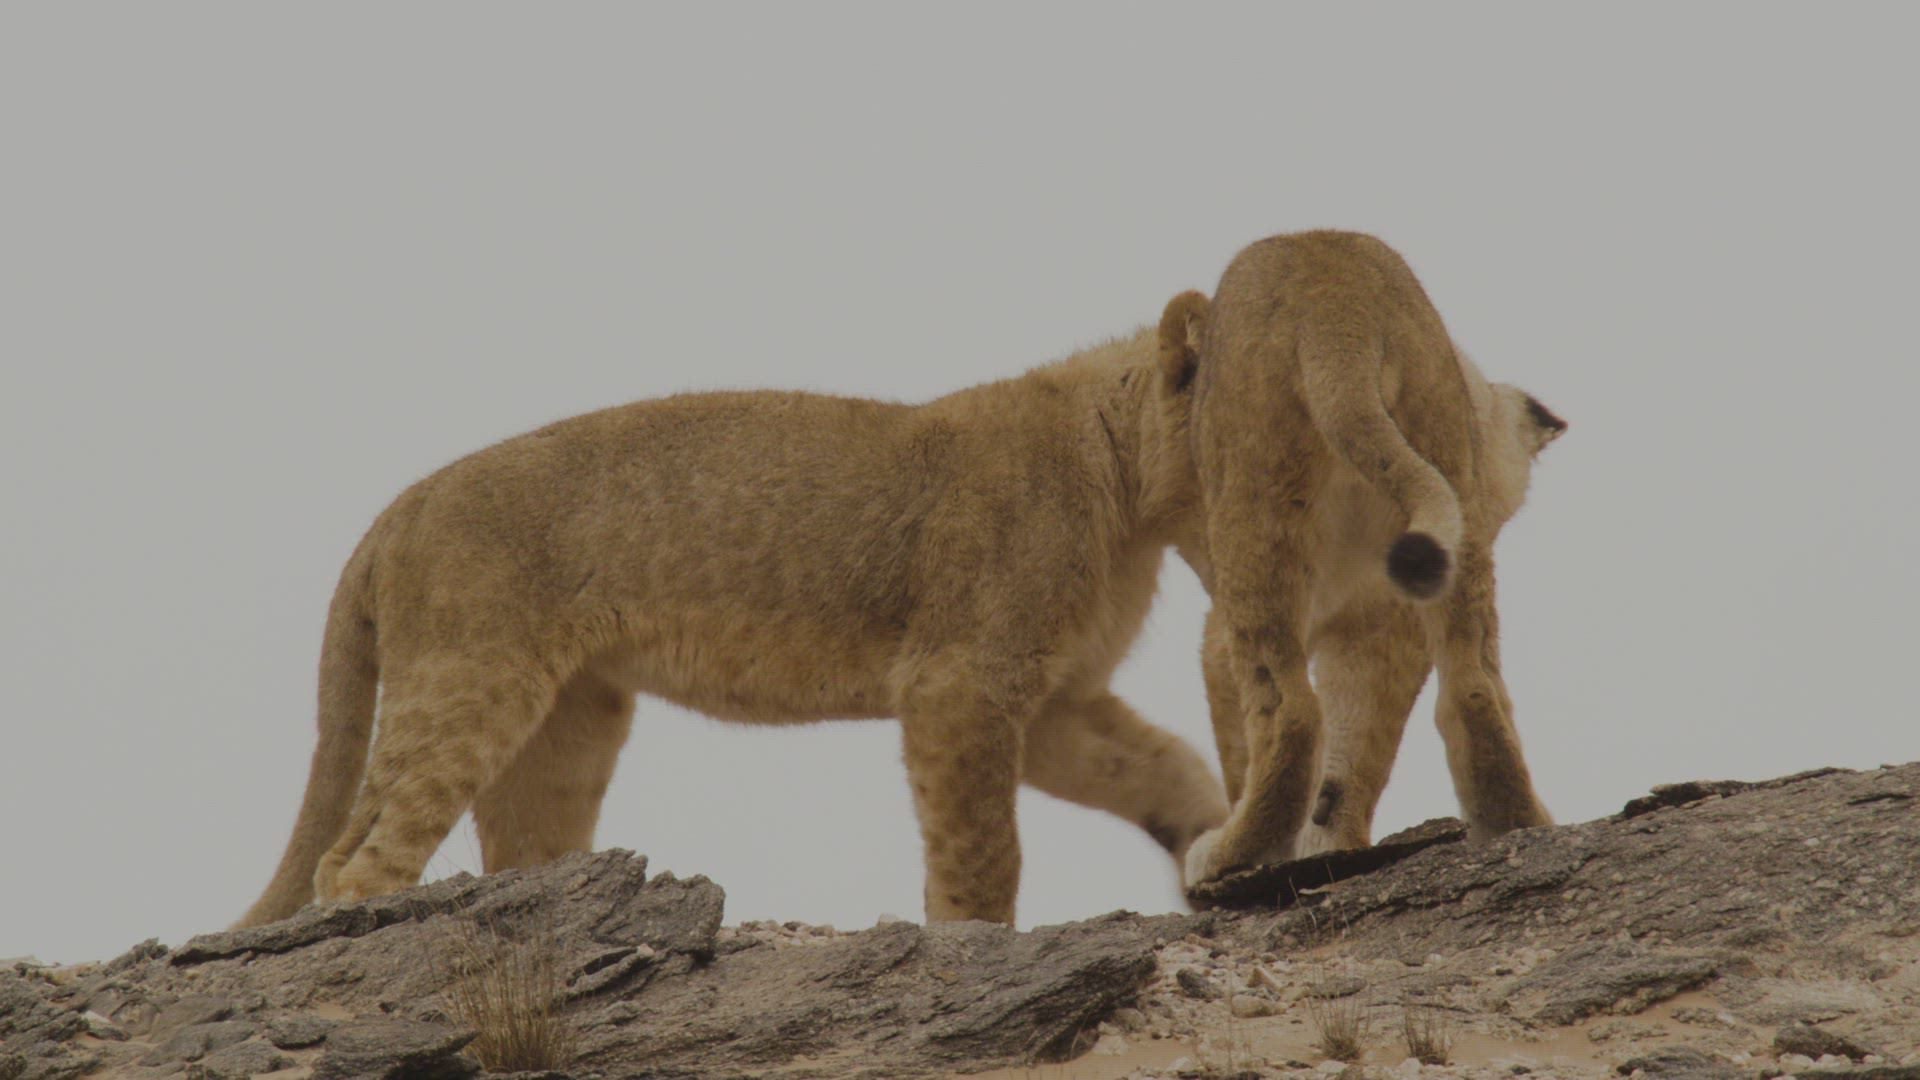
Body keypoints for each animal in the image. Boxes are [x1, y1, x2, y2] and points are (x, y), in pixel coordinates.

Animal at [237, 304, 1230, 929]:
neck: (1133, 507)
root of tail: (401, 504)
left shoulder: (1056, 698)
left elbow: (1163, 767)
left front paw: (1219, 847)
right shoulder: (962, 681)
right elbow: (982, 846)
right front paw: (975, 944)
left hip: (569, 719)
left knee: (518, 845)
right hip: (470, 679)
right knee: (356, 854)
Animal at [1174, 230, 1567, 889]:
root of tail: (1340, 307)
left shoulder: (1219, 634)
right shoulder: (1386, 623)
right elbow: (1357, 746)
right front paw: (1330, 840)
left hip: (1252, 507)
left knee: (1291, 710)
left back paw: (1228, 853)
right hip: (1445, 498)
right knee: (1473, 686)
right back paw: (1515, 822)